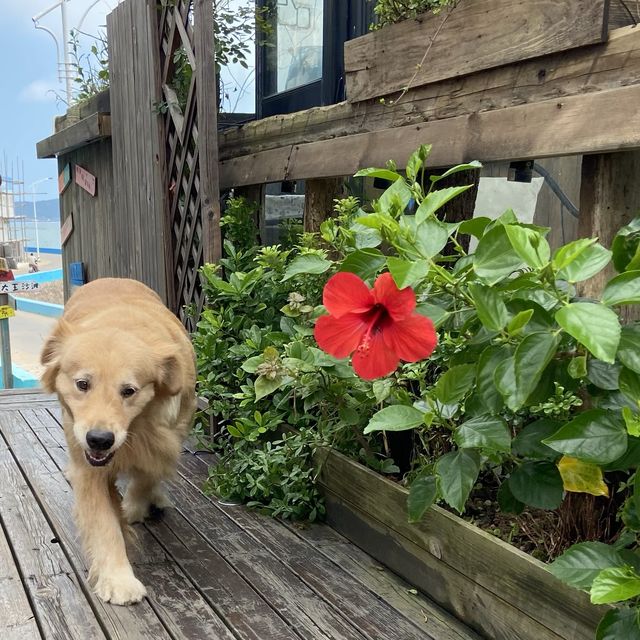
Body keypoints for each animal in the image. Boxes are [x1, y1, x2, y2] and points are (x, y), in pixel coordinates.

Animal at [41, 276, 196, 604]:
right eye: (82, 384)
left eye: (129, 391)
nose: (99, 440)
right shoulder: (89, 467)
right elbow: (104, 524)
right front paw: (118, 578)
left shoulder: (167, 440)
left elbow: (146, 477)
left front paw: (134, 507)